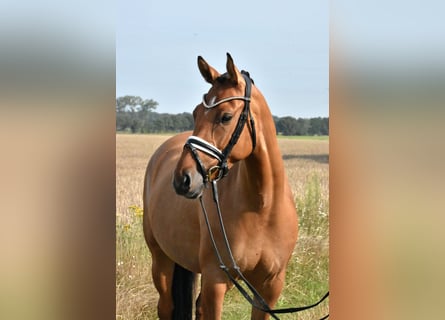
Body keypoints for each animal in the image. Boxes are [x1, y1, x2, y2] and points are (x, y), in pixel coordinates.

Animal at [144, 53, 296, 318]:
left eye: (226, 117)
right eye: (195, 113)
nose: (183, 179)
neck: (262, 208)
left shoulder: (269, 288)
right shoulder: (216, 281)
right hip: (161, 259)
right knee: (166, 306)